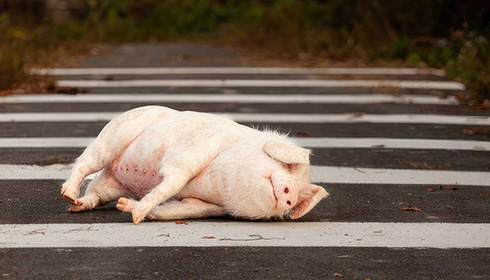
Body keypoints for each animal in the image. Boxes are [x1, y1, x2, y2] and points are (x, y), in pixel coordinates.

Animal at [61, 106, 330, 224]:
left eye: (302, 191)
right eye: (288, 167)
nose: (291, 194)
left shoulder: (209, 206)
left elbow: (179, 210)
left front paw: (126, 208)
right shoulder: (191, 154)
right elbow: (170, 183)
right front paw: (137, 217)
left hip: (111, 184)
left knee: (95, 195)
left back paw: (76, 205)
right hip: (112, 137)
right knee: (84, 163)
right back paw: (68, 195)